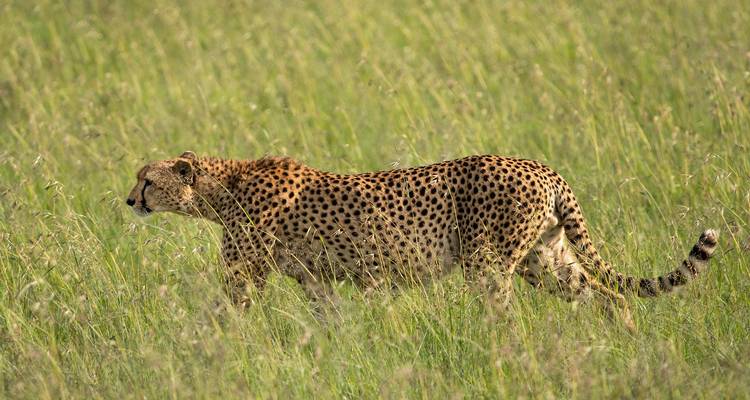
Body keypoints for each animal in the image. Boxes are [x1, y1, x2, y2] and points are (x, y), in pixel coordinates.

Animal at [126, 151, 718, 330]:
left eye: (147, 180)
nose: (130, 200)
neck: (221, 186)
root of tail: (539, 166)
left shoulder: (245, 273)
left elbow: (224, 315)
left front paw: (209, 348)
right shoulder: (316, 279)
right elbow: (328, 319)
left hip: (488, 263)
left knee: (504, 316)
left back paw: (494, 354)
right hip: (545, 260)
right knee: (610, 296)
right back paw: (625, 341)